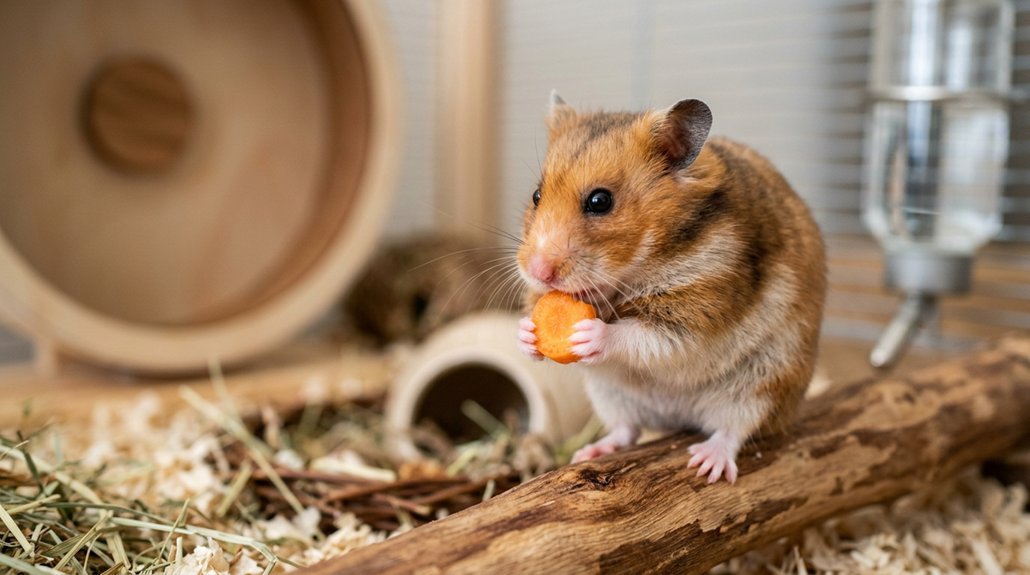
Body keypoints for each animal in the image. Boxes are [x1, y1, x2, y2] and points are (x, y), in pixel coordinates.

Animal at [516, 92, 826, 484]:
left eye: (600, 201)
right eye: (536, 195)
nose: (538, 271)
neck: (631, 271)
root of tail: (677, 418)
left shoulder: (696, 308)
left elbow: (641, 335)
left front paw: (587, 333)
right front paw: (528, 334)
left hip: (764, 382)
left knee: (733, 429)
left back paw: (709, 463)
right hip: (609, 394)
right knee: (626, 430)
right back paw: (590, 451)